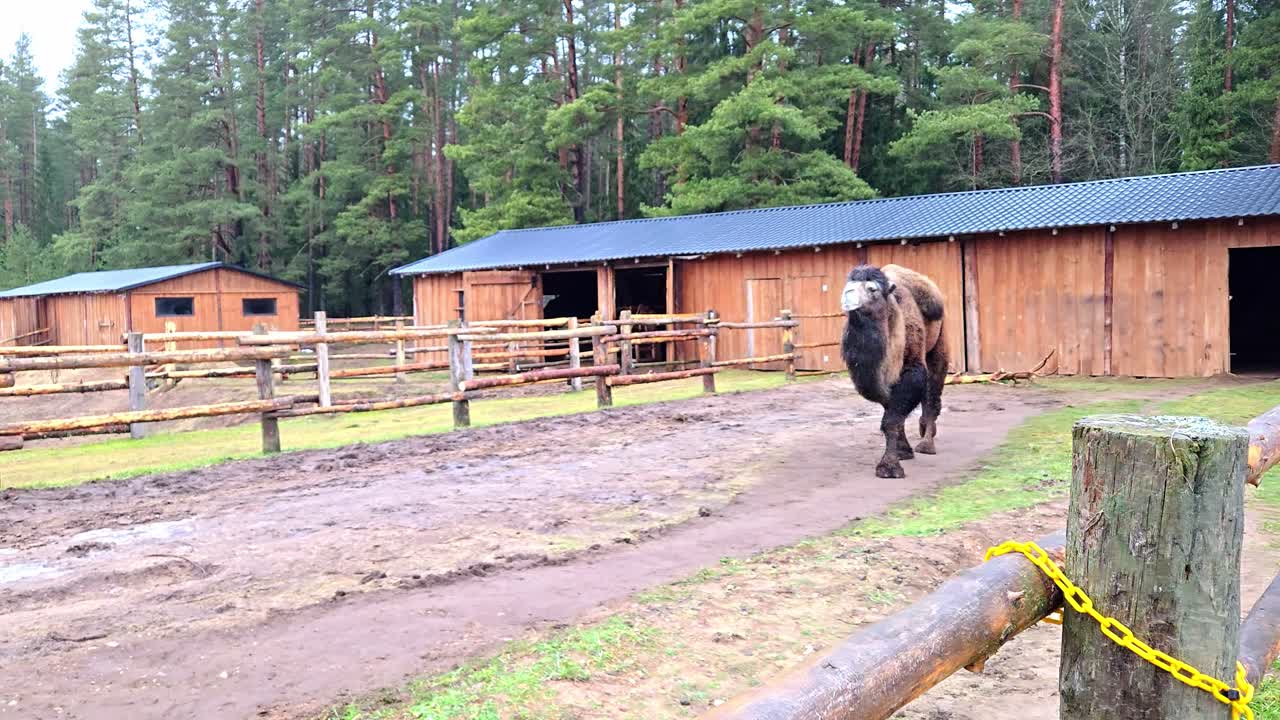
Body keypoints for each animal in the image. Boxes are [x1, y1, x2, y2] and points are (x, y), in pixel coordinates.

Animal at [839, 263, 949, 478]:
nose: (847, 295)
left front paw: (889, 467)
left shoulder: (912, 366)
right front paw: (902, 451)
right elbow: (893, 414)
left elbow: (891, 420)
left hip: (940, 342)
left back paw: (927, 445)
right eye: (848, 285)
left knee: (933, 393)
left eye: (872, 289)